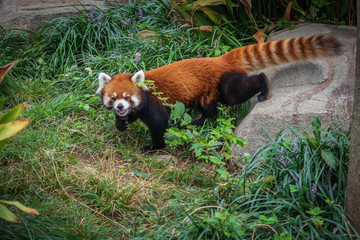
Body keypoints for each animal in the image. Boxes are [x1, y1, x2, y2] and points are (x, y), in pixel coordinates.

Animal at [96, 34, 344, 151]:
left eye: (127, 97)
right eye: (114, 98)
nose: (120, 107)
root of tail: (218, 59)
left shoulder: (155, 104)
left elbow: (159, 125)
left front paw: (153, 147)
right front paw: (121, 124)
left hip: (224, 83)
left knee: (237, 92)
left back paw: (264, 88)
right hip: (204, 92)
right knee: (208, 109)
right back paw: (199, 121)